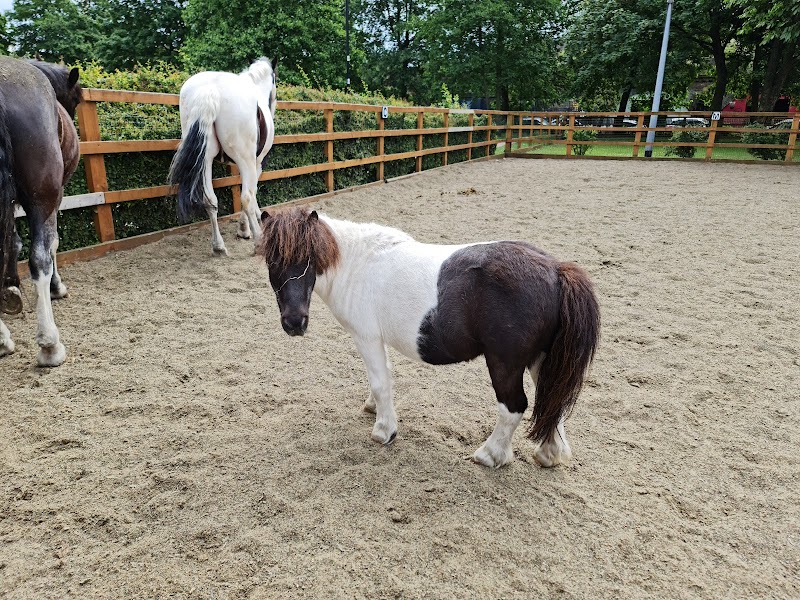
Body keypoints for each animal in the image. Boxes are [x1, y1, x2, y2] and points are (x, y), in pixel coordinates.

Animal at [0, 56, 82, 367]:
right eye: (77, 100)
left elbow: (12, 243)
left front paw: (10, 288)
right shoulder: (54, 198)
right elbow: (52, 244)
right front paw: (56, 287)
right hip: (43, 199)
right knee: (40, 258)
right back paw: (50, 344)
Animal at [169, 57, 277, 256]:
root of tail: (211, 89)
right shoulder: (256, 162)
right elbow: (252, 192)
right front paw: (246, 228)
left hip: (205, 159)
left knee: (210, 200)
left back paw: (218, 246)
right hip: (244, 159)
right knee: (246, 197)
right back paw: (259, 241)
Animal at [257, 208, 601, 468]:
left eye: (308, 259)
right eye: (272, 261)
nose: (294, 322)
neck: (357, 263)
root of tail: (556, 269)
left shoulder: (367, 337)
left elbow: (381, 383)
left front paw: (384, 430)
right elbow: (382, 379)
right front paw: (373, 408)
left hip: (505, 364)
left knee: (514, 406)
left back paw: (490, 455)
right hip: (542, 359)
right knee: (552, 400)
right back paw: (549, 454)